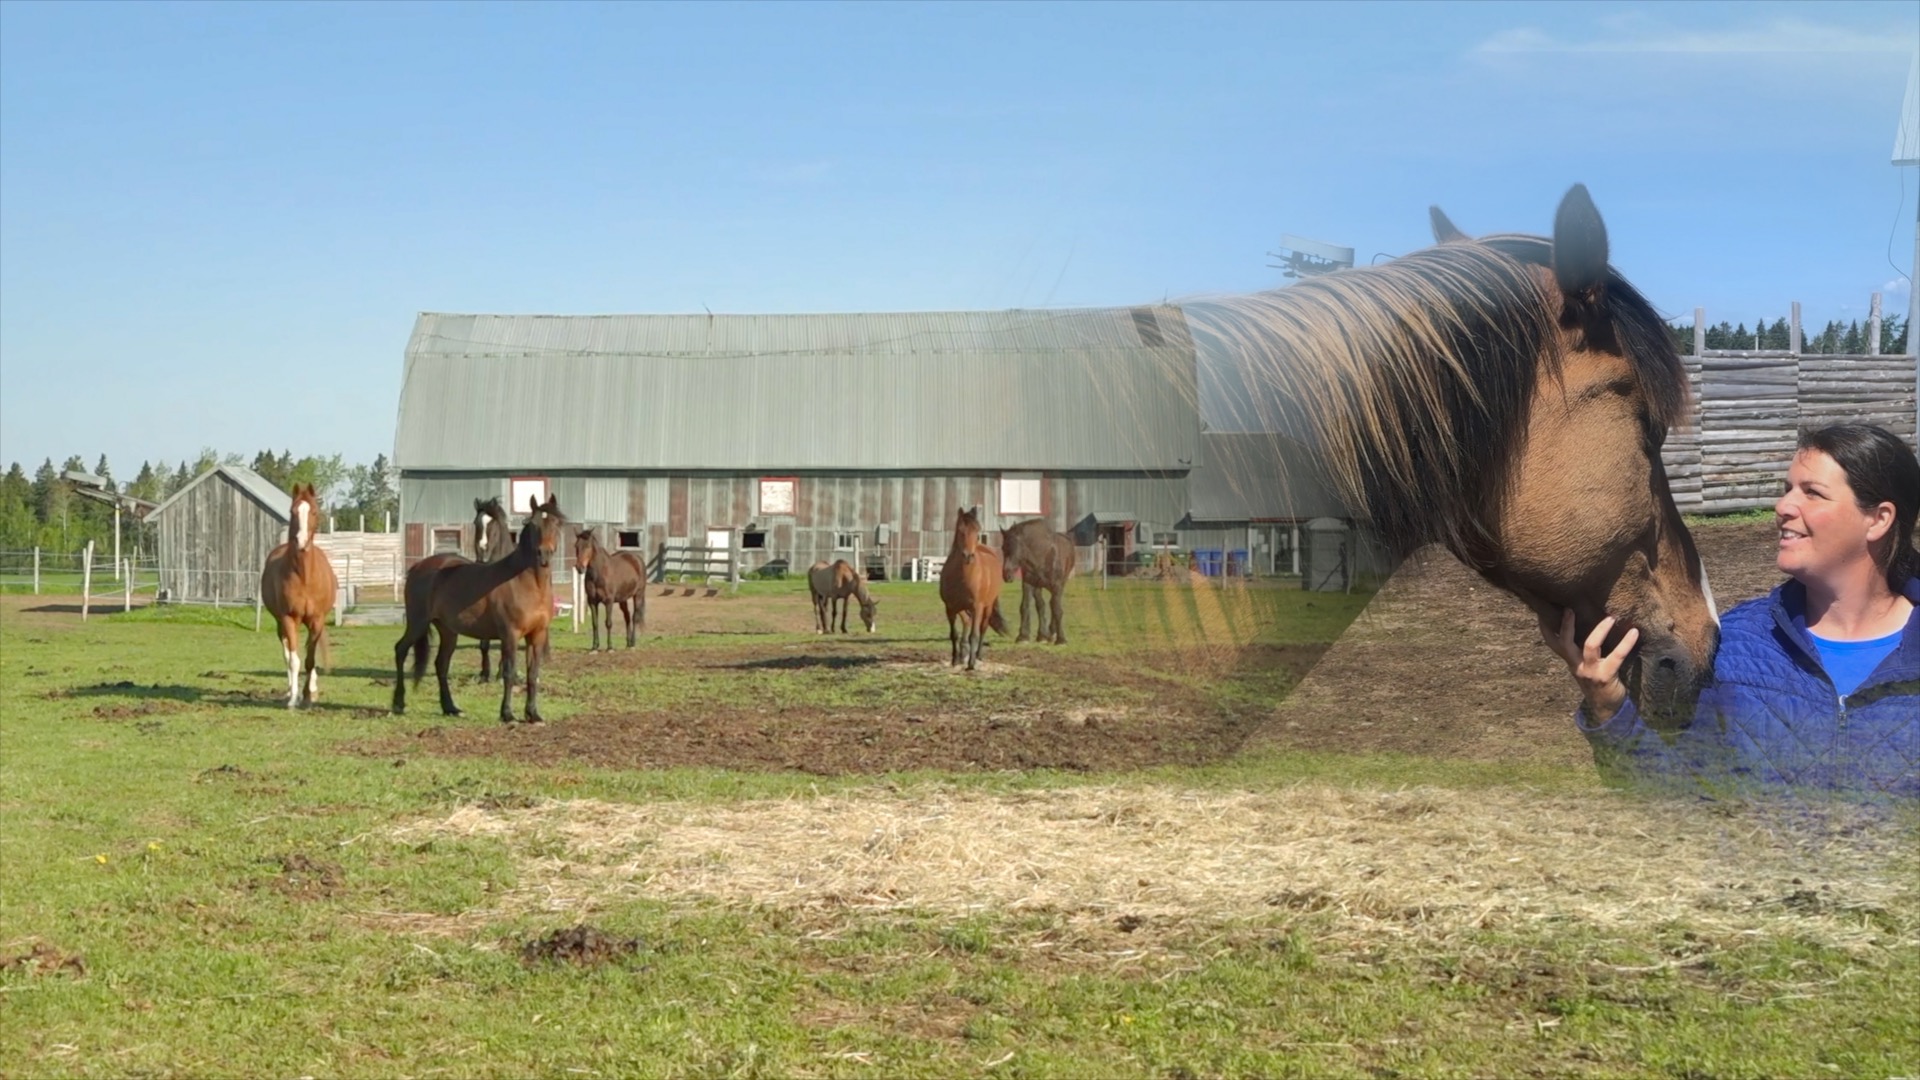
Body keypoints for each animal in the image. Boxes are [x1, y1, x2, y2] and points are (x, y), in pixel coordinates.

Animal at [258, 483, 337, 709]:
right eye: (292, 511)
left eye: (314, 512)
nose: (300, 541)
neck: (304, 577)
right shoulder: (288, 619)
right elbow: (294, 660)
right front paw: (294, 698)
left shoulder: (317, 620)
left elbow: (310, 660)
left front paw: (308, 696)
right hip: (281, 624)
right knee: (287, 654)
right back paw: (289, 690)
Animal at [392, 494, 566, 724]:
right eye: (534, 524)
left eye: (555, 523)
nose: (543, 554)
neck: (527, 582)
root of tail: (418, 567)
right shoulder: (510, 635)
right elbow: (509, 672)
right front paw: (507, 714)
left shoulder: (536, 635)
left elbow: (532, 674)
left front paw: (533, 714)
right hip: (417, 623)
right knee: (401, 650)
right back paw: (398, 703)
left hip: (448, 631)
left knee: (441, 664)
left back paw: (450, 708)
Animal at [938, 507, 1008, 671]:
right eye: (960, 530)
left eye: (977, 530)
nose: (968, 556)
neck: (962, 576)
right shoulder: (950, 608)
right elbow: (954, 634)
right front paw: (955, 660)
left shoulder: (977, 607)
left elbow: (974, 635)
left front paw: (971, 664)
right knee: (966, 623)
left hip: (987, 607)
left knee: (982, 628)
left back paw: (978, 655)